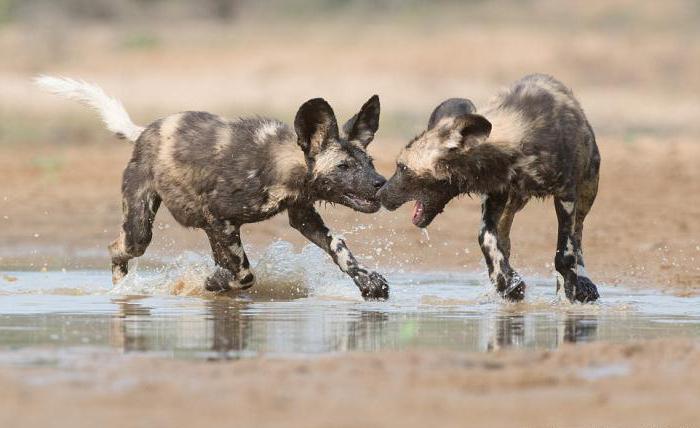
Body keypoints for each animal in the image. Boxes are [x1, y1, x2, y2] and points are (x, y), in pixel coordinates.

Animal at [38, 75, 392, 300]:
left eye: (370, 162)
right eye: (344, 167)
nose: (381, 183)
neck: (279, 164)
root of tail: (144, 132)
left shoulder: (302, 216)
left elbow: (339, 249)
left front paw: (369, 283)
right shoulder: (220, 219)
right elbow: (244, 272)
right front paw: (213, 283)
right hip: (140, 228)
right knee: (118, 248)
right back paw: (122, 290)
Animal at [378, 73, 600, 302]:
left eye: (402, 168)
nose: (379, 194)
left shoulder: (566, 196)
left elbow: (565, 254)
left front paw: (568, 296)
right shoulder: (495, 193)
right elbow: (486, 237)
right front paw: (507, 282)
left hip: (587, 192)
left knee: (578, 234)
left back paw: (583, 282)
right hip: (514, 201)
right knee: (505, 235)